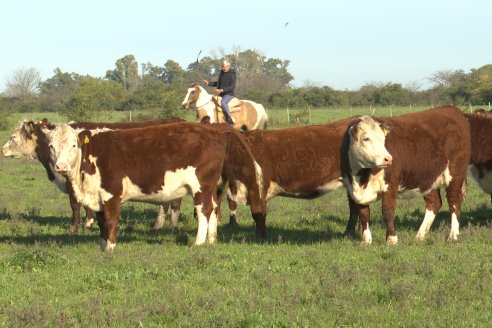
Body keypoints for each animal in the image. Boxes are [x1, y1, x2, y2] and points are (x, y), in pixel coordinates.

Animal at [1, 117, 184, 231]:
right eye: (52, 145)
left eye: (13, 136)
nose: (2, 150)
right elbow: (87, 204)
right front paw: (88, 222)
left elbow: (75, 204)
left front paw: (74, 227)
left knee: (174, 203)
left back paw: (169, 226)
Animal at [44, 121, 268, 251]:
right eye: (51, 146)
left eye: (74, 145)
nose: (61, 166)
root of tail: (213, 129)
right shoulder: (97, 196)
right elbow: (101, 223)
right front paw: (101, 246)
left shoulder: (112, 194)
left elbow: (111, 221)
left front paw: (110, 247)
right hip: (211, 187)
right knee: (213, 208)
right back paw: (211, 240)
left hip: (201, 186)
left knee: (204, 210)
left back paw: (198, 241)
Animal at [340, 106, 470, 245]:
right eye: (366, 138)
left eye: (383, 139)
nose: (388, 159)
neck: (361, 176)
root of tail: (451, 109)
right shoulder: (356, 191)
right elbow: (363, 214)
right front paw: (366, 241)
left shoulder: (390, 184)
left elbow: (388, 211)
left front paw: (391, 239)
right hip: (428, 178)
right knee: (434, 203)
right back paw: (420, 236)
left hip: (455, 174)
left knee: (454, 201)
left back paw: (452, 236)